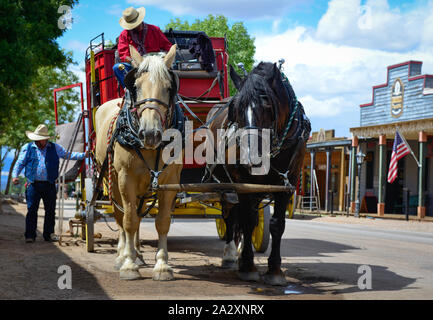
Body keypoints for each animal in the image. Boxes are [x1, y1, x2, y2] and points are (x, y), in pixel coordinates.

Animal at [94, 44, 182, 280]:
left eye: (168, 87)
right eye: (136, 86)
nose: (150, 134)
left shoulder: (170, 180)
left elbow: (162, 222)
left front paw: (162, 265)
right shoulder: (126, 178)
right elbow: (129, 220)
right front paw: (128, 264)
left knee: (139, 214)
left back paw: (139, 253)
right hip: (112, 180)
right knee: (122, 216)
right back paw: (123, 254)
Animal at [204, 62, 308, 284]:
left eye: (268, 104)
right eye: (236, 108)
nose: (249, 156)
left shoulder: (286, 183)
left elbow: (277, 225)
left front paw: (275, 270)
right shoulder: (242, 182)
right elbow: (247, 221)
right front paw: (248, 265)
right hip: (227, 185)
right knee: (230, 215)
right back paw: (230, 254)